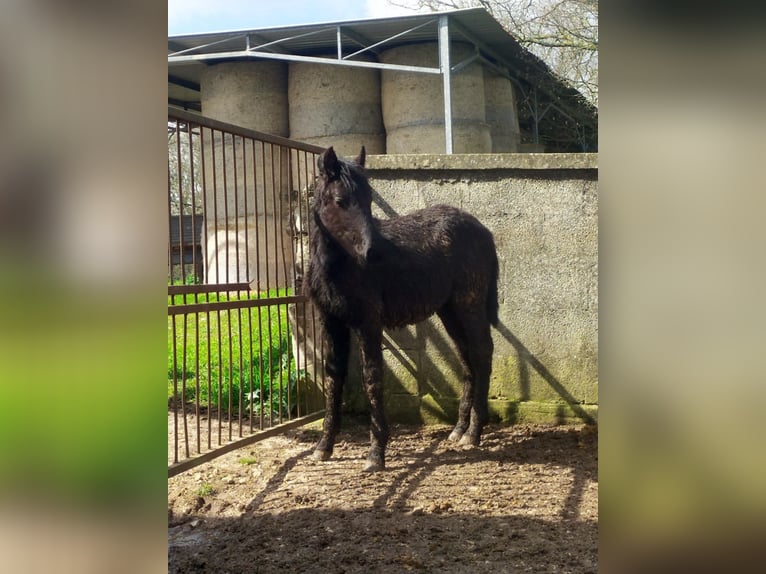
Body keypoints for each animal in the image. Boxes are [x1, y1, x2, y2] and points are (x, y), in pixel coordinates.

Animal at [305, 146, 499, 471]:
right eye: (340, 200)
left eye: (369, 199)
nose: (373, 252)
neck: (338, 267)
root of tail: (483, 231)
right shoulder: (330, 321)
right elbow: (333, 377)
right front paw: (323, 447)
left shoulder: (369, 321)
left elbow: (372, 378)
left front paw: (376, 453)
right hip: (449, 311)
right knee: (466, 357)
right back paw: (458, 430)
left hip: (469, 303)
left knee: (482, 351)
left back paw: (474, 432)